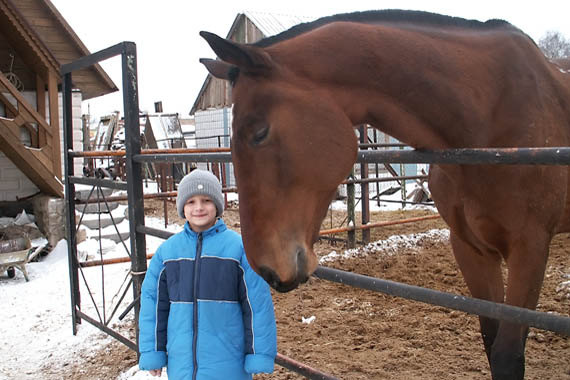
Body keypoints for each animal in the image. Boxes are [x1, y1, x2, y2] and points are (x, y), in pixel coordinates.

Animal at [199, 10, 568, 378]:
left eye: (259, 132)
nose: (267, 269)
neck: (486, 119)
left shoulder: (530, 248)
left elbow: (507, 354)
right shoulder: (471, 247)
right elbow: (491, 341)